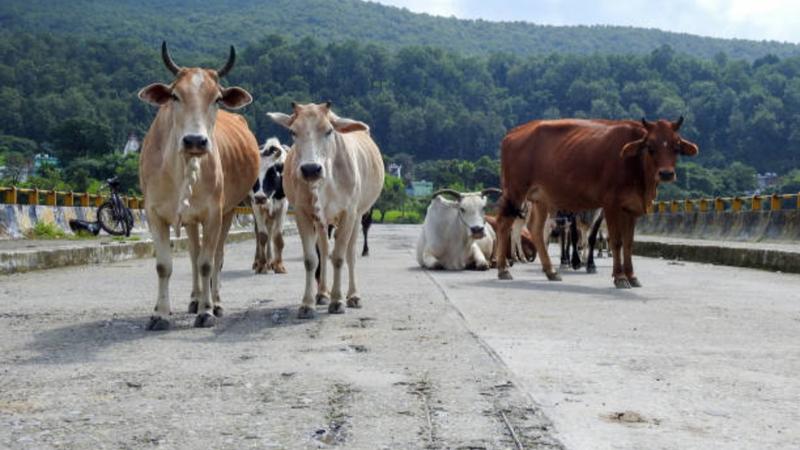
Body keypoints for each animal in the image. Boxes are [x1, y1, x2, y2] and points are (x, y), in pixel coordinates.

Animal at [138, 42, 260, 330]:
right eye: (174, 96)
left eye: (216, 98)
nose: (195, 141)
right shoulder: (154, 213)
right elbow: (164, 265)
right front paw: (160, 313)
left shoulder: (214, 213)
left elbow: (207, 263)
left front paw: (207, 311)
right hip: (192, 219)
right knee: (194, 253)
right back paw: (194, 298)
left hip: (228, 211)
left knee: (216, 257)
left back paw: (214, 302)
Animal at [250, 136, 290, 274]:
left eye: (272, 173)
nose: (260, 197)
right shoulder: (256, 206)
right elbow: (262, 236)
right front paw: (261, 265)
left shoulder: (283, 206)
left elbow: (277, 237)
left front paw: (278, 265)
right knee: (259, 233)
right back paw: (260, 262)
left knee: (271, 230)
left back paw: (270, 261)